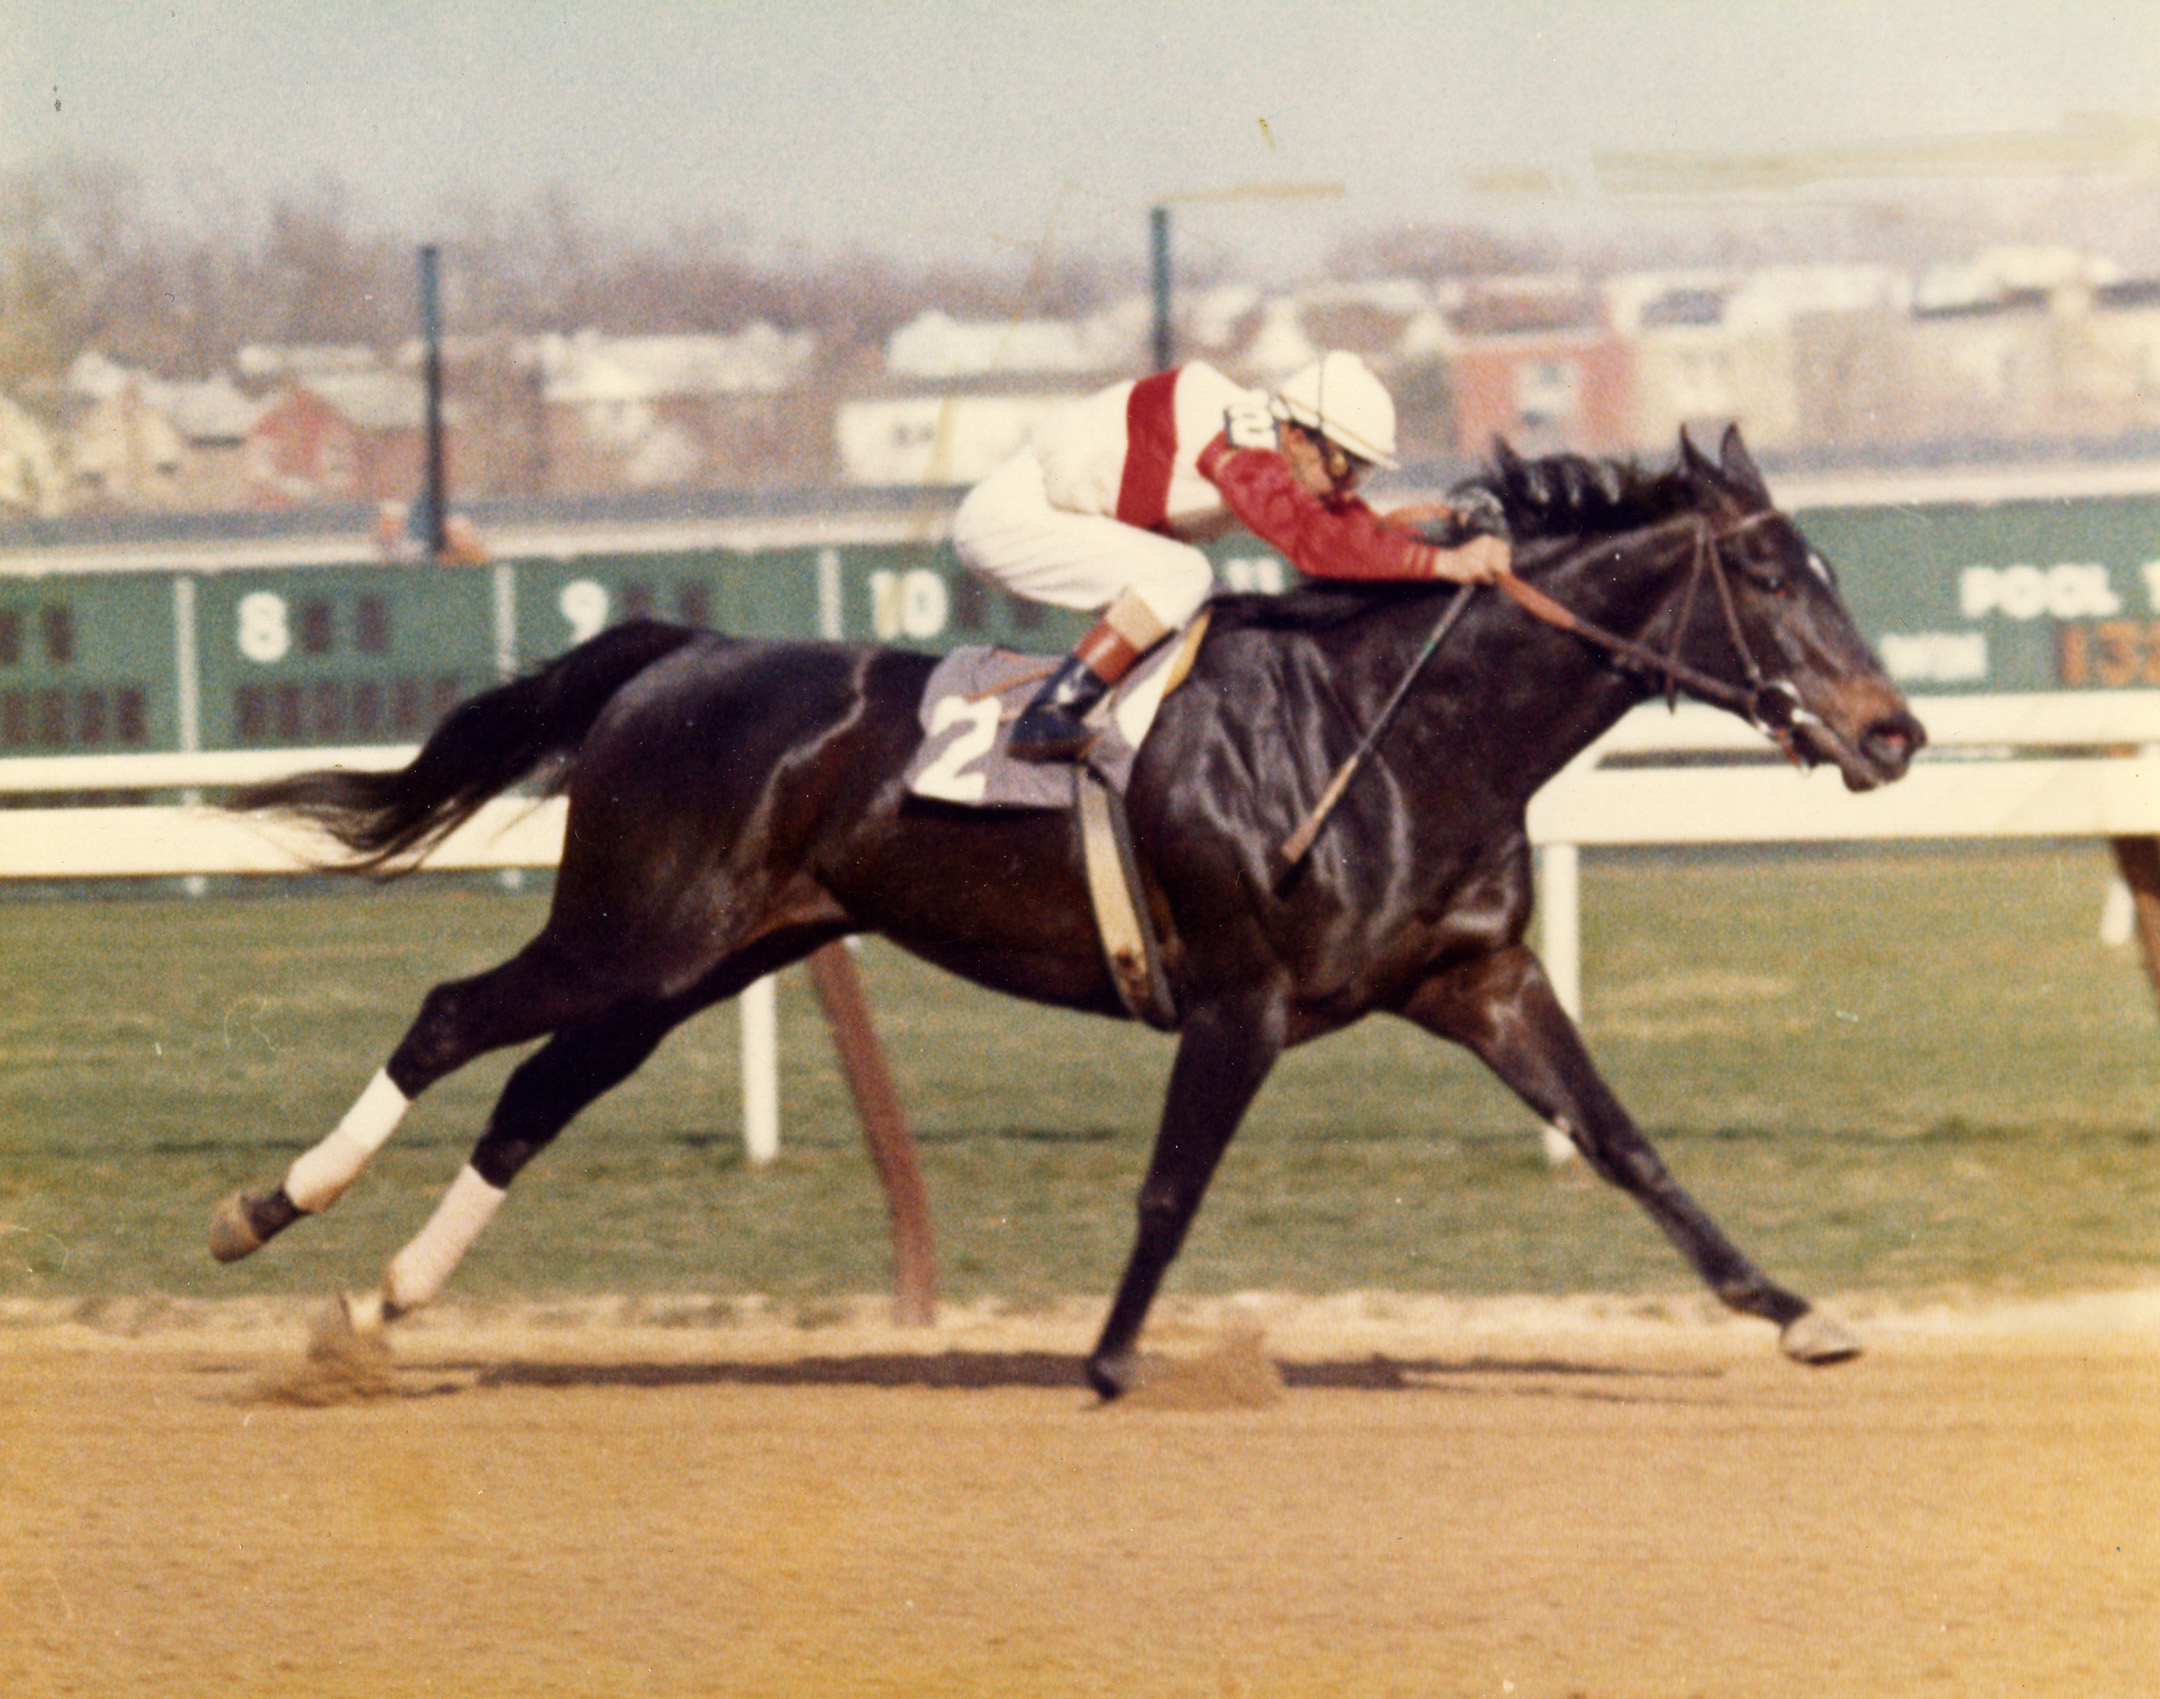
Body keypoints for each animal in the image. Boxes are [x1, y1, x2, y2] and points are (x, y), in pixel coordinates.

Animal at [210, 431, 1926, 1398]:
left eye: (1830, 564)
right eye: (1774, 575)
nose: (1894, 731)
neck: (1391, 727)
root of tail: (681, 650)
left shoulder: (1480, 976)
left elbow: (1627, 1143)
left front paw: (1794, 1312)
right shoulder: (1240, 999)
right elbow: (1170, 1186)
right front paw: (1108, 1360)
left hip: (709, 955)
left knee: (539, 1088)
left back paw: (388, 1300)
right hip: (636, 930)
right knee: (452, 1013)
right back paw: (268, 1208)